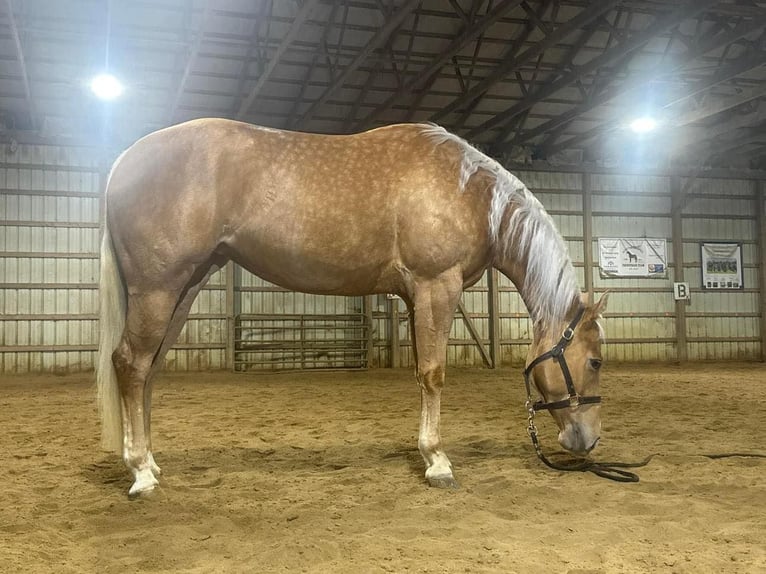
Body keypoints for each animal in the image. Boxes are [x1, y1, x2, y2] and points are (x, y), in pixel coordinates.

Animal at [97, 119, 609, 498]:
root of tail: (123, 161)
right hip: (158, 289)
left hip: (184, 287)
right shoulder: (436, 287)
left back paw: (152, 464)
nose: (587, 440)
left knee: (148, 369)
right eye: (596, 361)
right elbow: (434, 375)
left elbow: (421, 373)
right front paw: (438, 462)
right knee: (130, 364)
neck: (472, 194)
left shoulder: (415, 298)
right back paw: (140, 472)